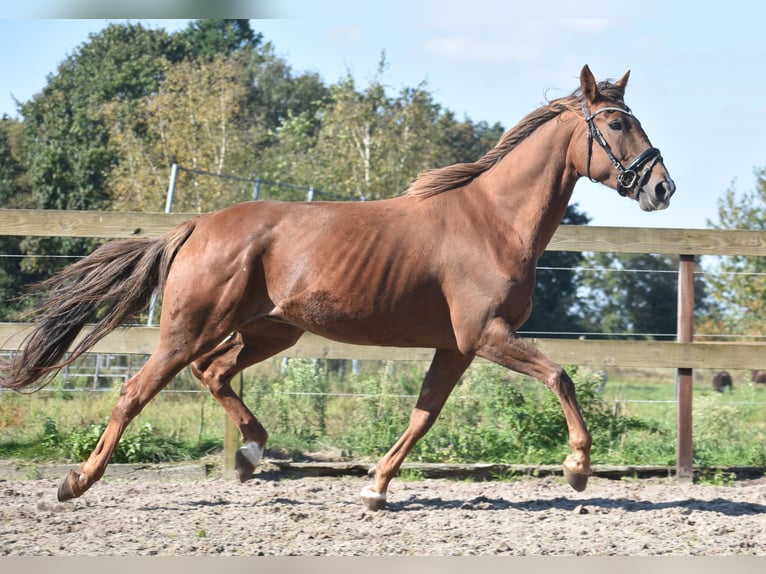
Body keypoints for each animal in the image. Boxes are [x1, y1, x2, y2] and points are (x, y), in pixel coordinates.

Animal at [0, 65, 676, 510]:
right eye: (617, 123)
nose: (661, 187)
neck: (494, 220)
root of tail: (195, 226)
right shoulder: (486, 335)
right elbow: (560, 377)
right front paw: (577, 469)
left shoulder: (456, 346)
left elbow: (424, 414)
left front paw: (375, 488)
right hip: (192, 328)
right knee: (136, 390)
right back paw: (76, 482)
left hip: (271, 330)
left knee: (213, 374)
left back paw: (251, 453)